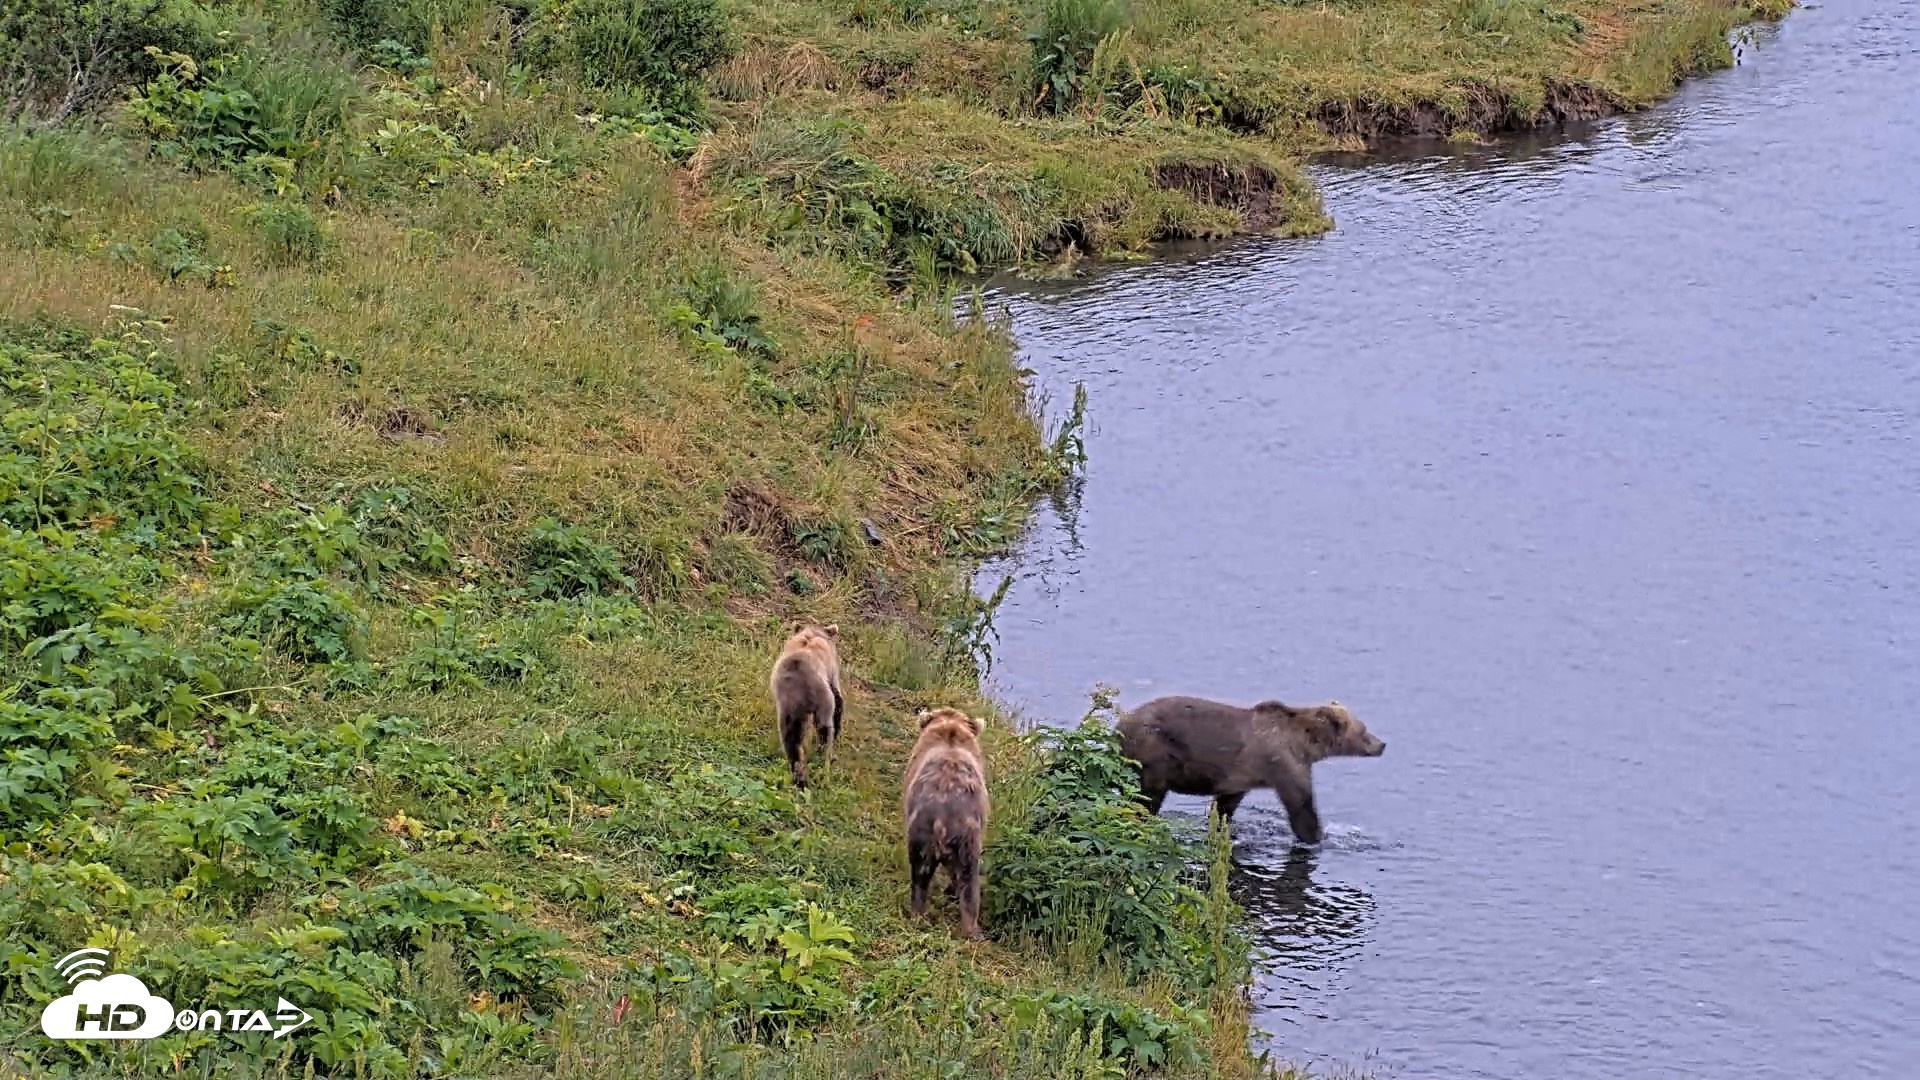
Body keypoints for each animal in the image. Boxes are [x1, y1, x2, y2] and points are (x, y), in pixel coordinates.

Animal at [769, 622, 844, 788]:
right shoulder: (832, 672)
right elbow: (839, 700)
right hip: (823, 699)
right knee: (824, 730)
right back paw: (823, 764)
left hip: (789, 708)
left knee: (791, 740)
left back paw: (800, 778)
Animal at [902, 707, 990, 940]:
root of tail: (942, 819)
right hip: (964, 835)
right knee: (968, 880)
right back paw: (971, 927)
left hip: (923, 831)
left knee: (920, 874)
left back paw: (917, 912)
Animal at [1116, 695, 1385, 844]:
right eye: (1364, 729)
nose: (1382, 744)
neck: (1304, 743)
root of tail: (1119, 725)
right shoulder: (1283, 762)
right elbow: (1301, 805)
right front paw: (1317, 836)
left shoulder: (1239, 778)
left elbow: (1225, 805)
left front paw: (1221, 825)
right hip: (1155, 752)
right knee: (1146, 797)